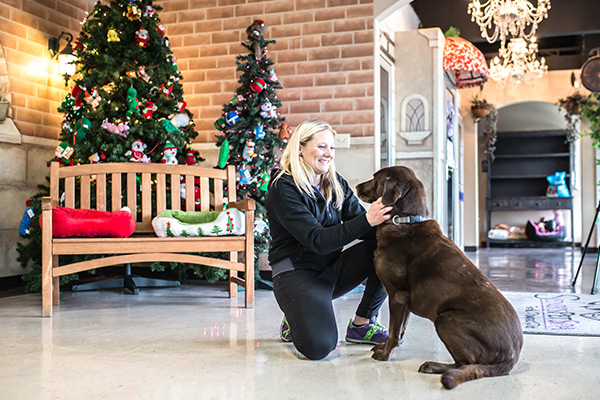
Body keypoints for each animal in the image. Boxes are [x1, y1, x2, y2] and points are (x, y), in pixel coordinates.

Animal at [356, 166, 520, 390]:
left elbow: (394, 330)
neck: (404, 221)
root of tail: (512, 358)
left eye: (375, 178)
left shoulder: (397, 295)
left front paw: (384, 354)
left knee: (465, 363)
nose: (356, 186)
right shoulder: (405, 302)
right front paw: (384, 346)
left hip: (445, 319)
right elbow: (400, 330)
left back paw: (433, 366)